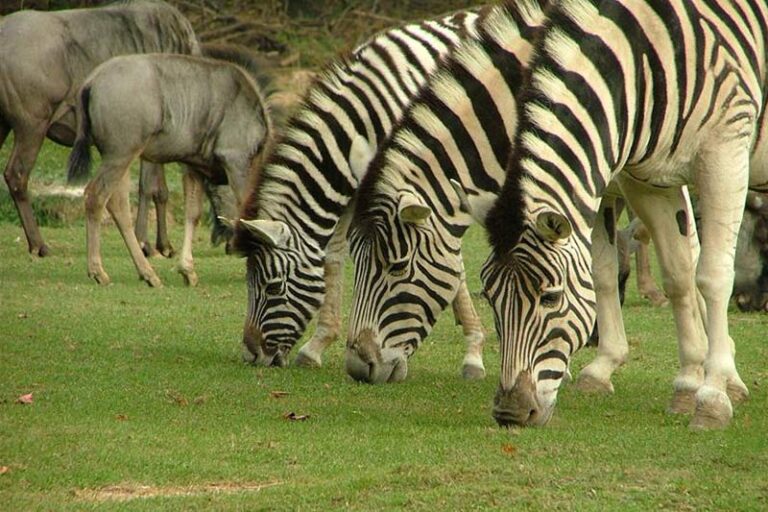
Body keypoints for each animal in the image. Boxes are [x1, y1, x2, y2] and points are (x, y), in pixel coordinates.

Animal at [230, 8, 491, 374]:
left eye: (272, 286)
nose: (251, 355)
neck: (367, 121)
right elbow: (334, 254)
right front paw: (318, 344)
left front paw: (474, 351)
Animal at [478, 0, 765, 429]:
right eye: (490, 297)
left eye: (550, 297)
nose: (510, 412)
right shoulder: (650, 180)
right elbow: (677, 277)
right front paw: (686, 385)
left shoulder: (725, 153)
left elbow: (711, 277)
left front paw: (713, 398)